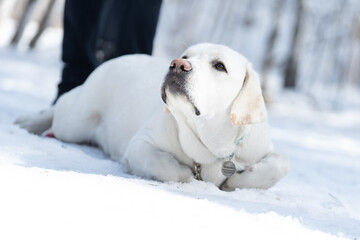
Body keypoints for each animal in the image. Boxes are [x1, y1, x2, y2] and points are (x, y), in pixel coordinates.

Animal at [16, 42, 290, 189]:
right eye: (187, 55)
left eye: (219, 66)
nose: (178, 64)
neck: (212, 146)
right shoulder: (140, 145)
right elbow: (166, 166)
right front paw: (188, 176)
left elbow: (280, 164)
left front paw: (238, 181)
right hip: (75, 120)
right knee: (59, 106)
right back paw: (28, 122)